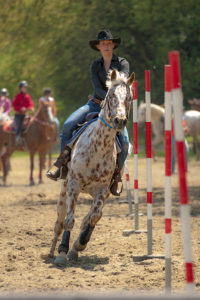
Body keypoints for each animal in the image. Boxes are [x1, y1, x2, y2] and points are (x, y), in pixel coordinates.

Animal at [48, 68, 135, 264]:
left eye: (129, 97)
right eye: (111, 95)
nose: (120, 120)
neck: (97, 149)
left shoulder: (103, 190)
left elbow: (93, 217)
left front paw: (77, 246)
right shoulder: (74, 185)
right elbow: (70, 220)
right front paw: (62, 252)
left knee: (92, 217)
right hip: (63, 190)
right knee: (59, 222)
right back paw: (51, 252)